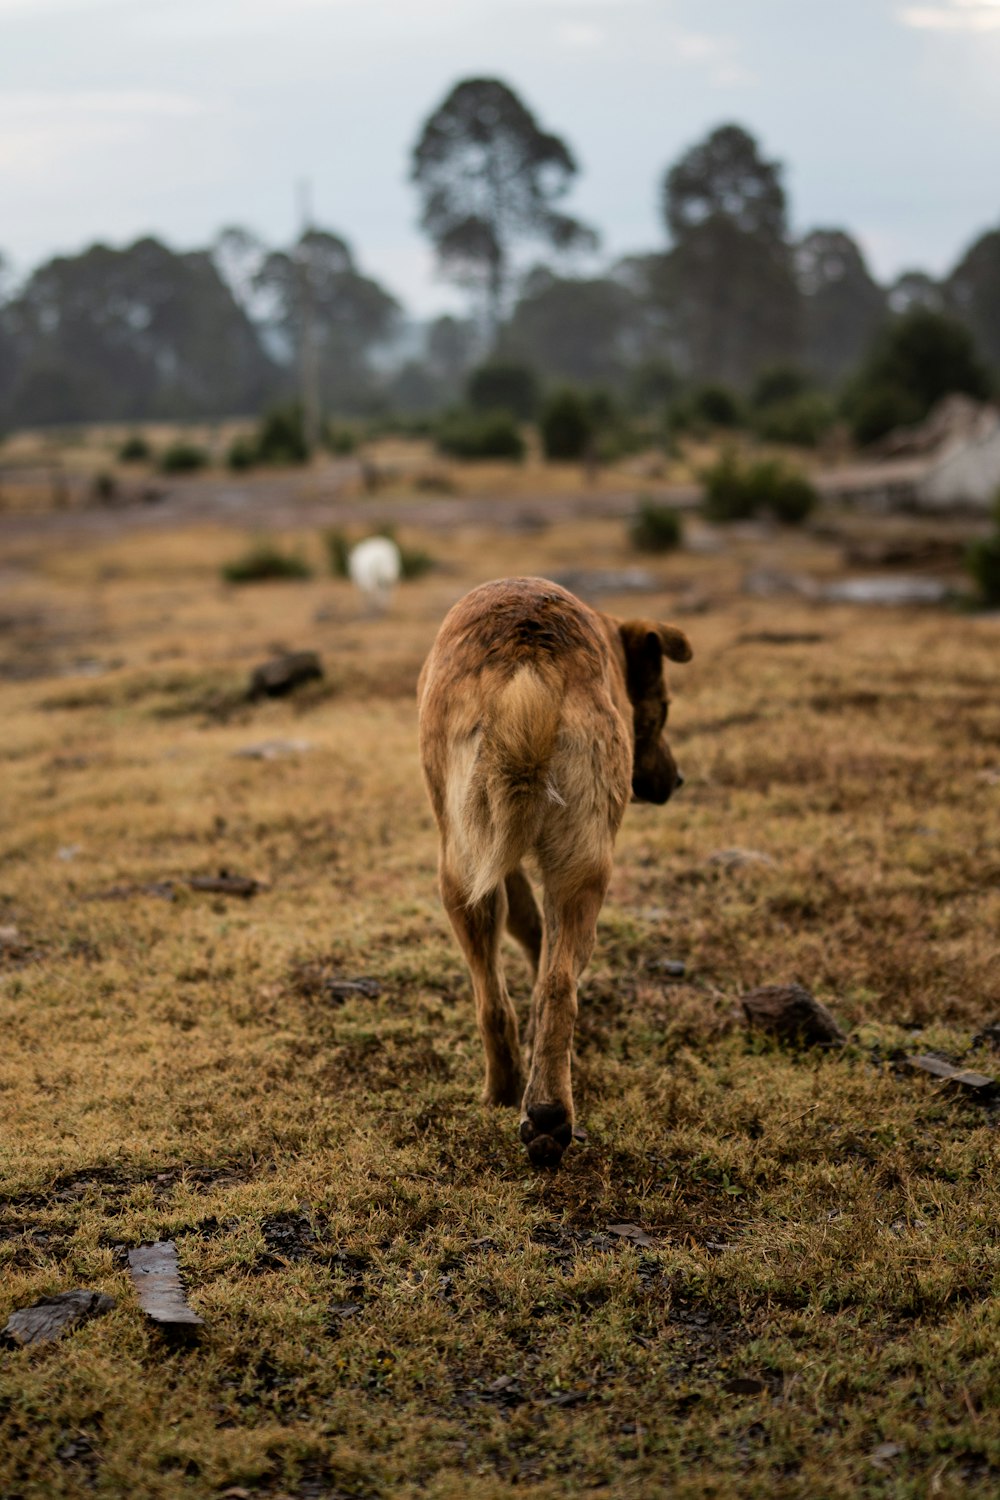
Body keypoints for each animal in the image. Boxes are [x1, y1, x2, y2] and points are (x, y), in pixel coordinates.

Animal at [419, 573, 692, 1170]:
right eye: (661, 710)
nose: (678, 780)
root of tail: (529, 661)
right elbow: (531, 929)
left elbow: (526, 926)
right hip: (567, 863)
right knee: (550, 985)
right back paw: (539, 1111)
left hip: (471, 862)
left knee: (509, 991)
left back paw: (521, 1101)